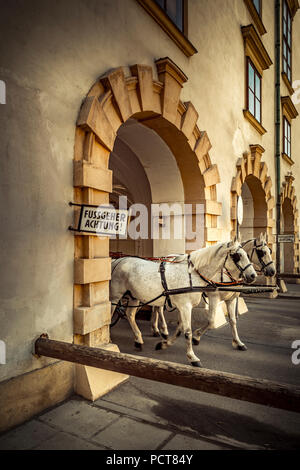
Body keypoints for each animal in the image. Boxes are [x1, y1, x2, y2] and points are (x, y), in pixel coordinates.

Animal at [110, 239, 255, 368]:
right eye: (237, 256)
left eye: (247, 255)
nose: (253, 275)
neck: (192, 274)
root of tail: (117, 260)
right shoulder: (187, 306)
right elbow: (188, 331)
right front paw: (192, 356)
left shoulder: (183, 306)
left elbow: (180, 330)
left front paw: (164, 344)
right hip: (115, 297)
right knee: (110, 313)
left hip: (134, 296)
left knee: (130, 315)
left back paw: (139, 339)